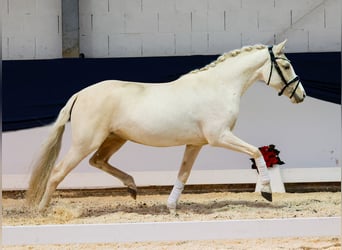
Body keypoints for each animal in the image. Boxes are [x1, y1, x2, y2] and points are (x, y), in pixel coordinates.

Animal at [25, 40, 306, 212]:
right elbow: (257, 151)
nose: (301, 95)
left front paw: (171, 207)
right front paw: (267, 192)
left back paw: (132, 187)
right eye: (286, 65)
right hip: (86, 142)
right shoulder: (220, 137)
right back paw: (41, 211)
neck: (219, 86)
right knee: (58, 171)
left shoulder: (195, 144)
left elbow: (183, 175)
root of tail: (80, 94)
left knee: (98, 161)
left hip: (115, 138)